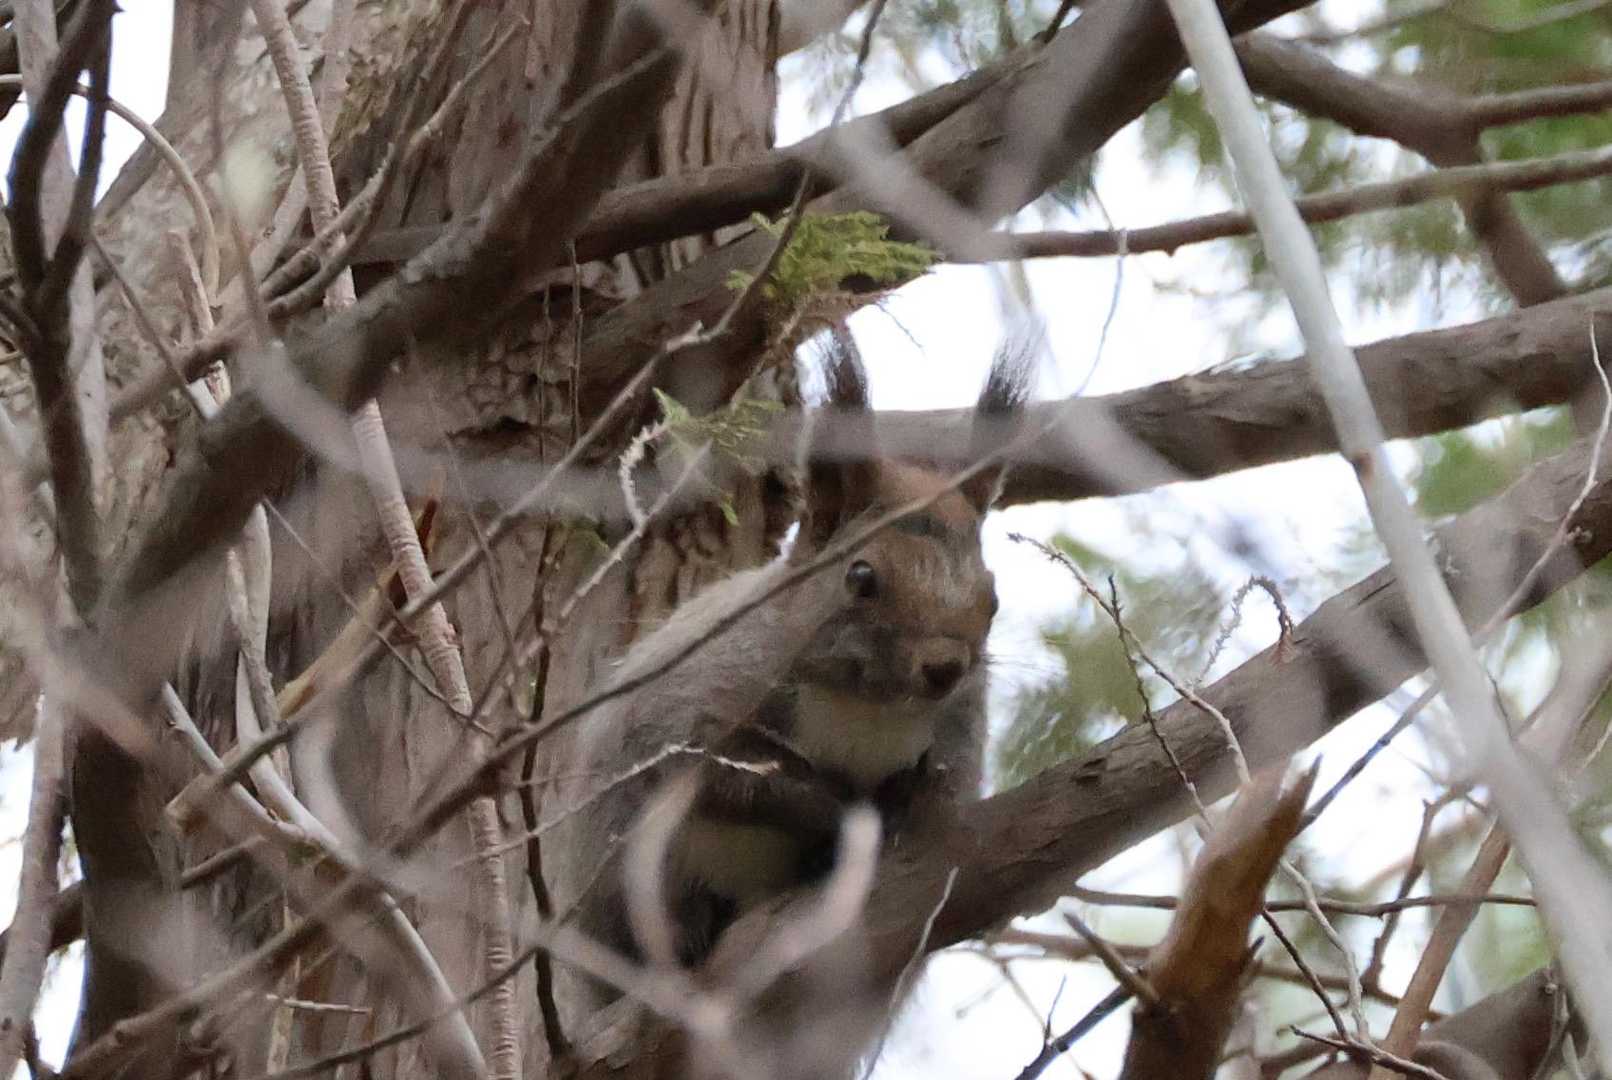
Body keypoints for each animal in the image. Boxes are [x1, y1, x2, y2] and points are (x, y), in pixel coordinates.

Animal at [545, 337, 1029, 994]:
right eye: (861, 576)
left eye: (993, 596)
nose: (945, 666)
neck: (865, 707)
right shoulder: (697, 697)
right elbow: (722, 773)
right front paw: (834, 805)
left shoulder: (960, 727)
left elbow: (944, 794)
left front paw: (901, 798)